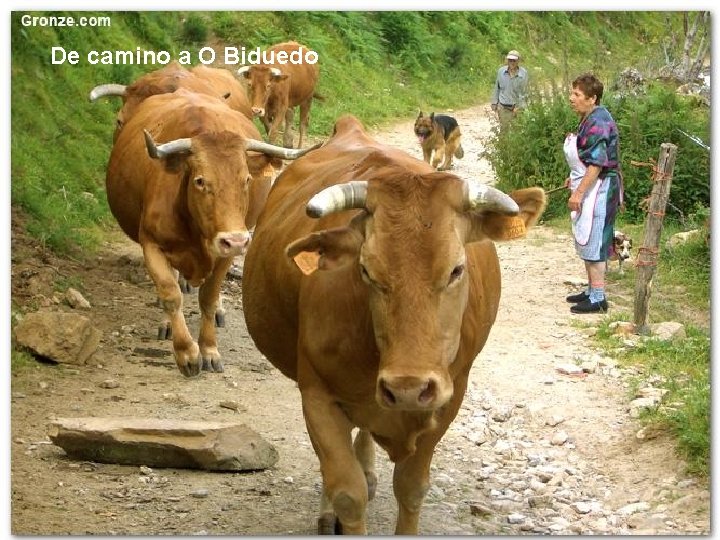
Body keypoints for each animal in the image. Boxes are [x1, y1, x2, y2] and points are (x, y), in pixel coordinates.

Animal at [106, 89, 316, 377]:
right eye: (200, 180)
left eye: (246, 179)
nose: (236, 240)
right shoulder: (151, 243)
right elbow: (170, 294)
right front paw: (186, 353)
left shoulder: (226, 253)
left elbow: (208, 297)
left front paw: (208, 350)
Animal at [241, 114, 546, 534]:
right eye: (366, 270)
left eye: (457, 269)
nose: (407, 388)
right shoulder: (316, 397)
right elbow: (347, 492)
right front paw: (338, 505)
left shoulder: (448, 397)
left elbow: (411, 487)